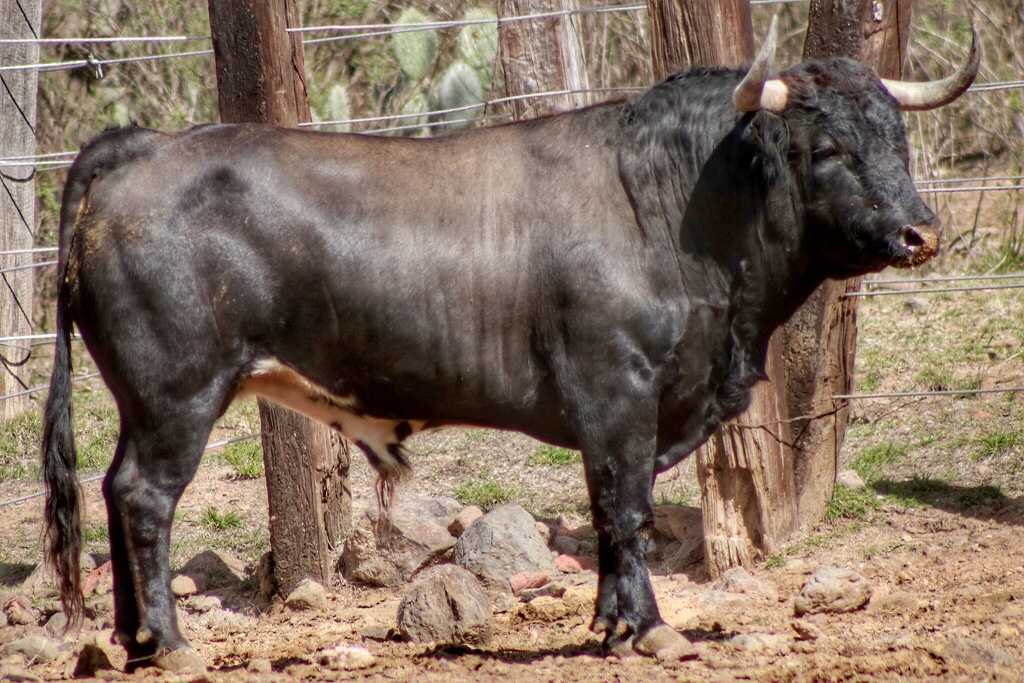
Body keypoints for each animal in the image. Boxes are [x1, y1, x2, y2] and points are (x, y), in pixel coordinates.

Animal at [44, 26, 978, 671]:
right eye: (828, 149)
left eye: (896, 139)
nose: (920, 232)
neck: (674, 205)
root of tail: (146, 145)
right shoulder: (620, 393)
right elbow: (625, 509)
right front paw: (650, 629)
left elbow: (609, 515)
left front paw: (611, 623)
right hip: (178, 394)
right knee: (145, 498)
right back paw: (168, 643)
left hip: (142, 401)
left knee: (114, 488)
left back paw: (133, 637)